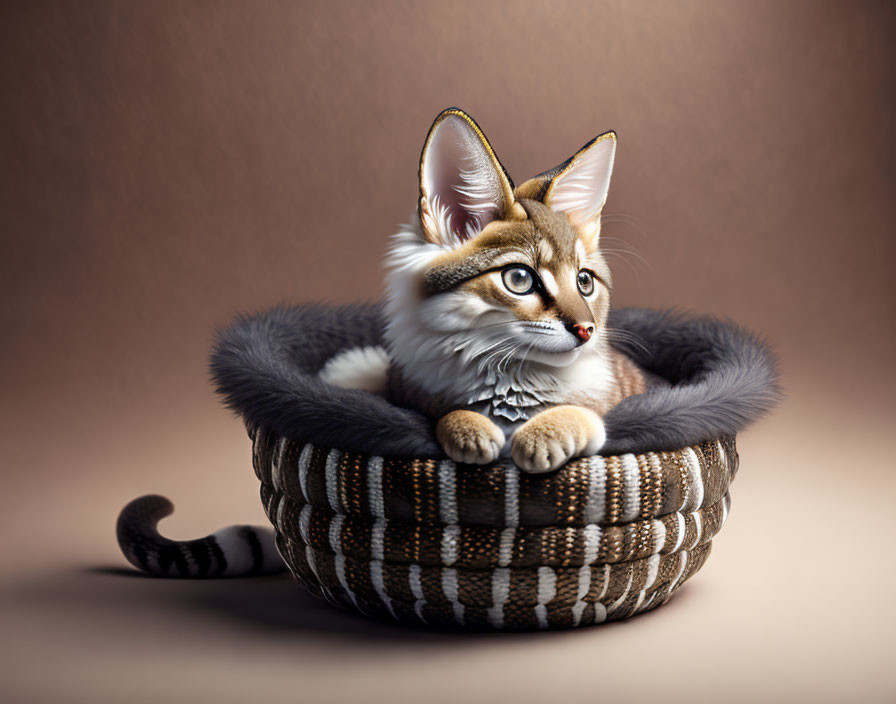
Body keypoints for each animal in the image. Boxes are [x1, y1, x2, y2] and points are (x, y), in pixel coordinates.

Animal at [322, 108, 644, 472]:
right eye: (519, 279)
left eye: (584, 282)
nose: (586, 330)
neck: (512, 382)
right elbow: (445, 414)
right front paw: (467, 426)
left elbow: (584, 414)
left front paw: (543, 435)